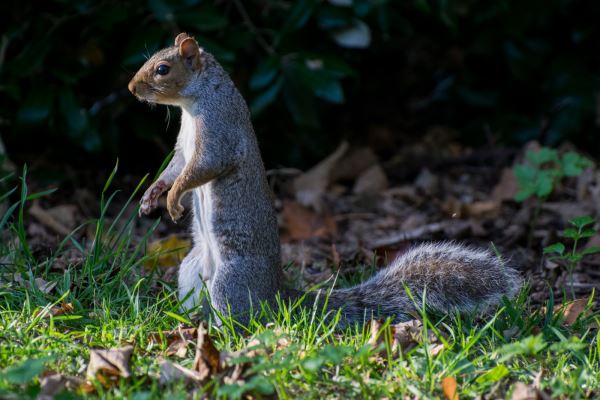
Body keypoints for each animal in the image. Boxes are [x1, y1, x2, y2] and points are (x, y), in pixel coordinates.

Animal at [129, 33, 524, 328]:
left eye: (162, 69)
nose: (132, 89)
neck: (193, 103)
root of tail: (277, 296)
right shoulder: (185, 147)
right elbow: (176, 166)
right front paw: (152, 195)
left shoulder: (220, 130)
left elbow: (204, 167)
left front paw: (173, 198)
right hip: (190, 271)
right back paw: (190, 324)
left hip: (232, 280)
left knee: (243, 320)